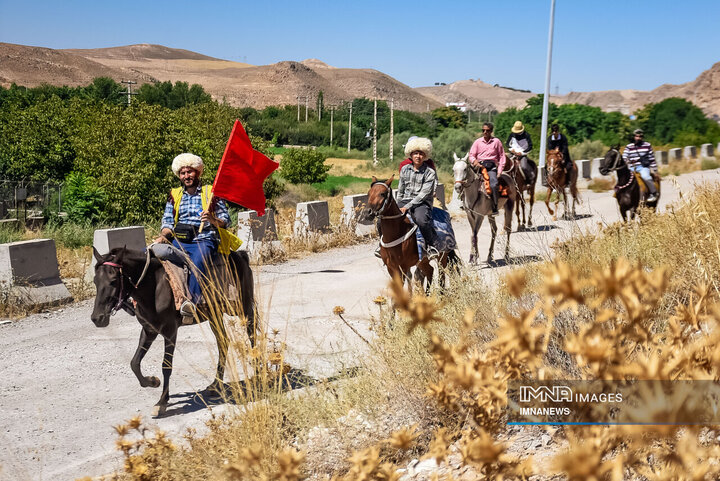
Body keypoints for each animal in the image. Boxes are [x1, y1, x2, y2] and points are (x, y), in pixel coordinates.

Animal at [91, 246, 256, 414]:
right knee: (223, 342)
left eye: (113, 281)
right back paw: (215, 386)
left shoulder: (170, 332)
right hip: (214, 315)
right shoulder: (149, 330)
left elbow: (166, 365)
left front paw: (162, 402)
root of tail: (240, 255)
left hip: (243, 308)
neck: (154, 287)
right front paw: (153, 381)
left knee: (252, 335)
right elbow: (134, 363)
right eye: (95, 281)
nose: (97, 318)